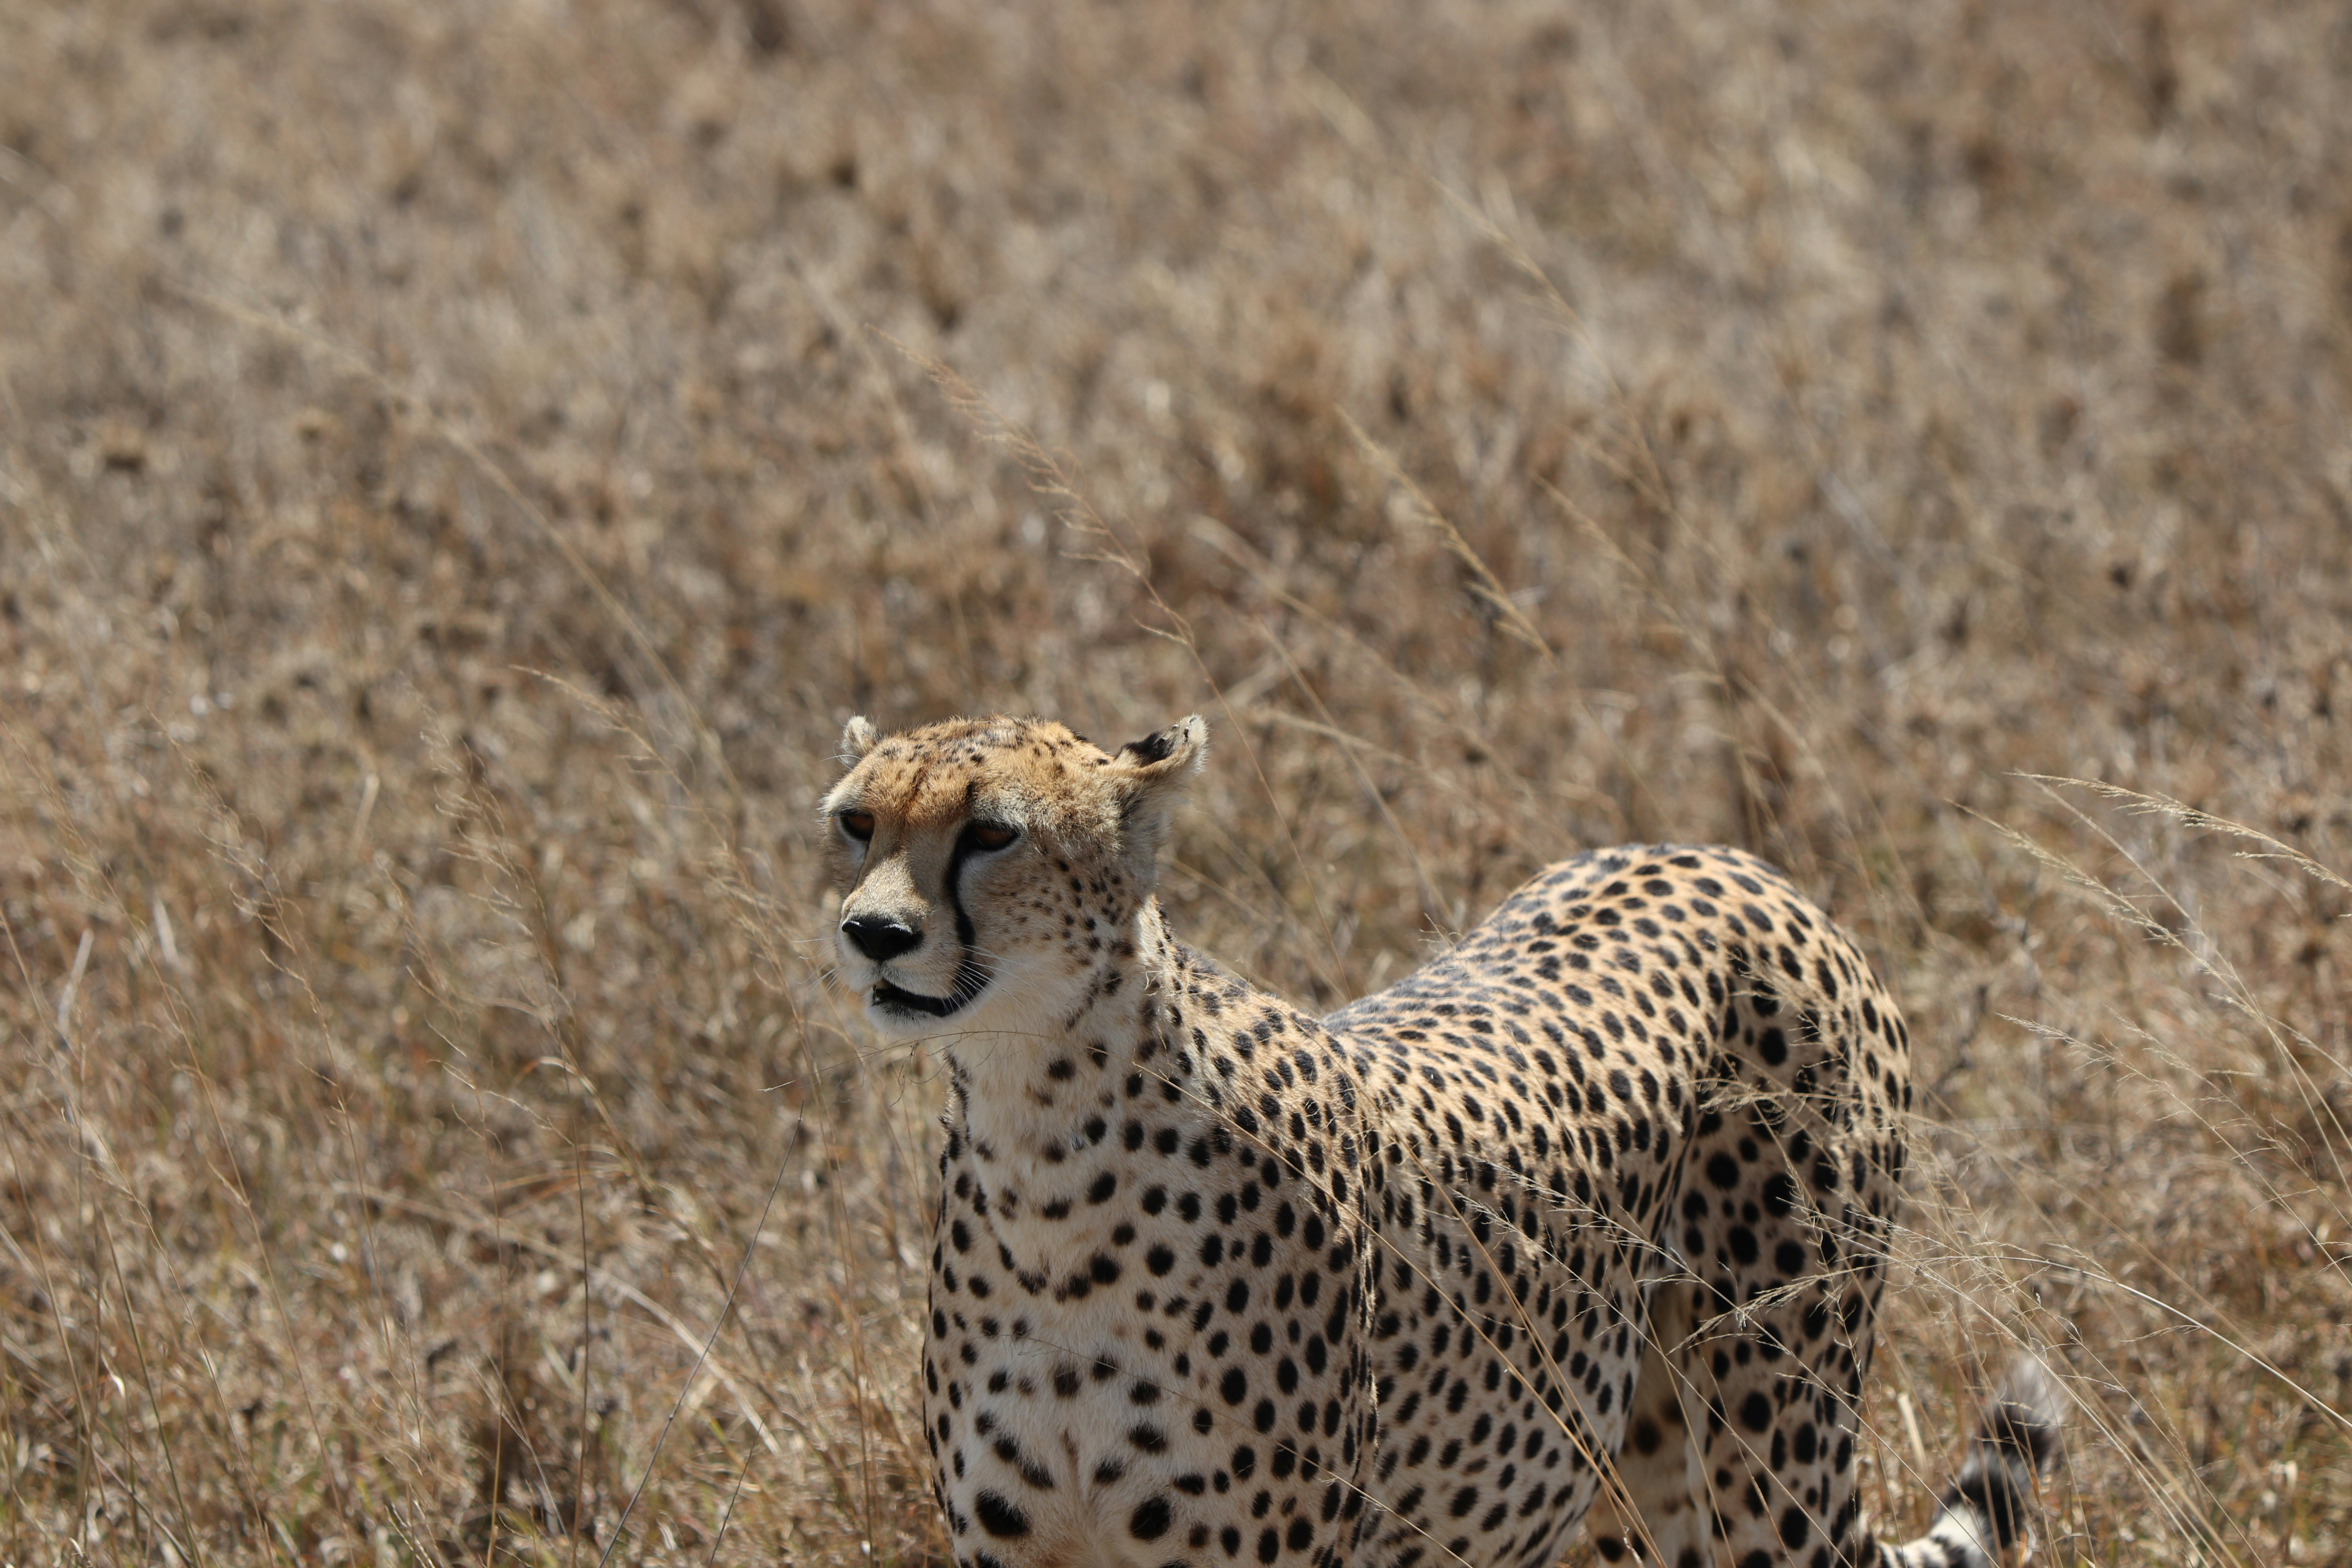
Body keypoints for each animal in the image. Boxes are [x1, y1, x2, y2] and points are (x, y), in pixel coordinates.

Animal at [821, 712, 2062, 1568]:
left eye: (992, 833)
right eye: (856, 821)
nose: (870, 933)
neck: (1043, 1137)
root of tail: (1726, 859)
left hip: (1770, 1451)